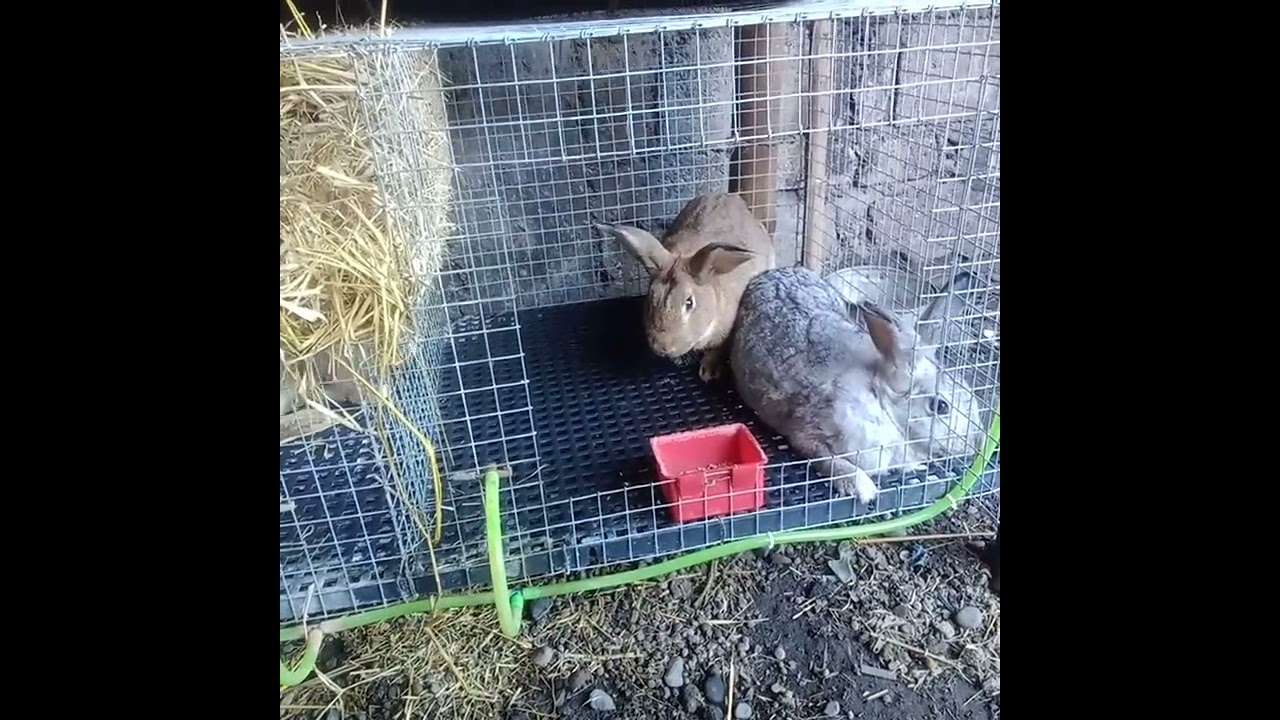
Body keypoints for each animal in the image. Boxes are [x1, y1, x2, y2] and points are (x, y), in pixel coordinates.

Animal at [729, 265, 983, 504]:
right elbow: (829, 461)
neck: (882, 402)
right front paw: (863, 488)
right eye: (940, 406)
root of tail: (773, 272)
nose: (974, 445)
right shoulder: (811, 434)